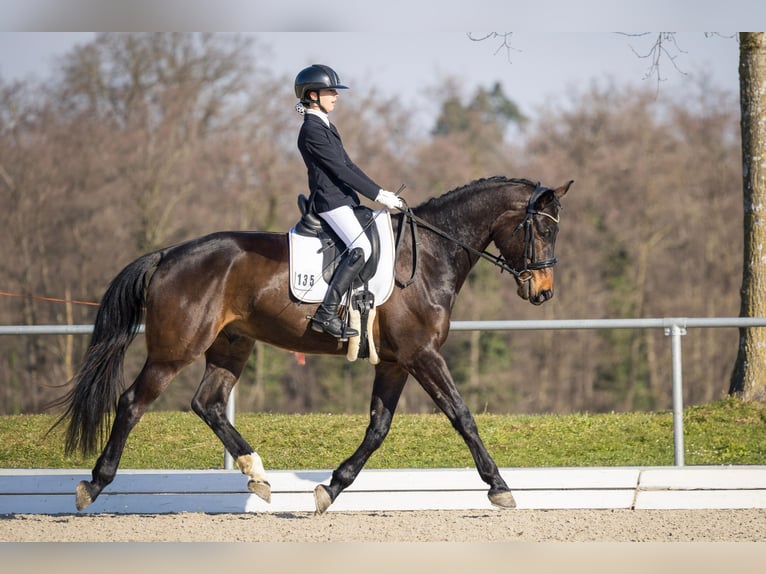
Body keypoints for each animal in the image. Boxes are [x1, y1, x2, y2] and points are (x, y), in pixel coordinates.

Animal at [52, 176, 572, 513]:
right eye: (544, 229)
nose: (543, 292)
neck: (427, 258)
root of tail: (167, 255)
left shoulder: (396, 362)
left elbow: (378, 428)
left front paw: (330, 488)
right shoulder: (423, 355)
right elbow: (462, 416)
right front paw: (500, 487)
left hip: (231, 344)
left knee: (209, 403)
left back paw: (258, 476)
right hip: (175, 349)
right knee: (132, 402)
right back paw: (94, 484)